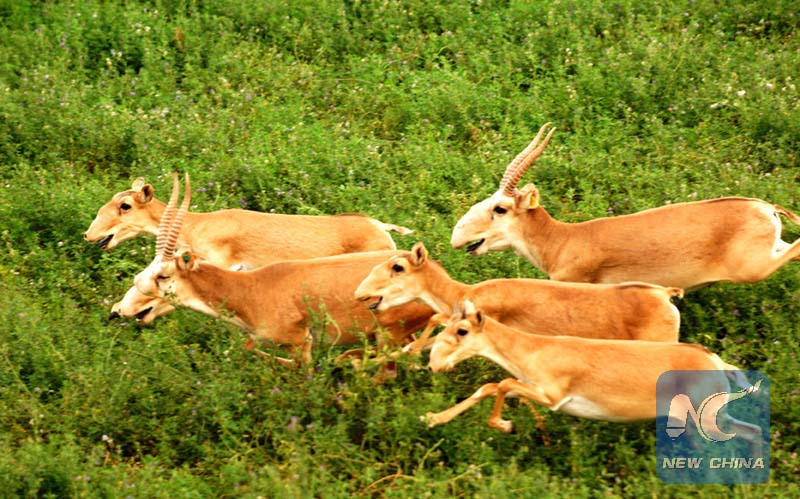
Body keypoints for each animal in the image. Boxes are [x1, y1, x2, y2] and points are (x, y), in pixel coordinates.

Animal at [424, 298, 764, 458]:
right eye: (447, 324)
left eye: (462, 330)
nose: (434, 363)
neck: (535, 349)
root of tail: (717, 361)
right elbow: (491, 386)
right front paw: (432, 417)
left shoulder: (553, 396)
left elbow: (504, 384)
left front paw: (505, 425)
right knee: (751, 431)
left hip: (708, 418)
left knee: (747, 433)